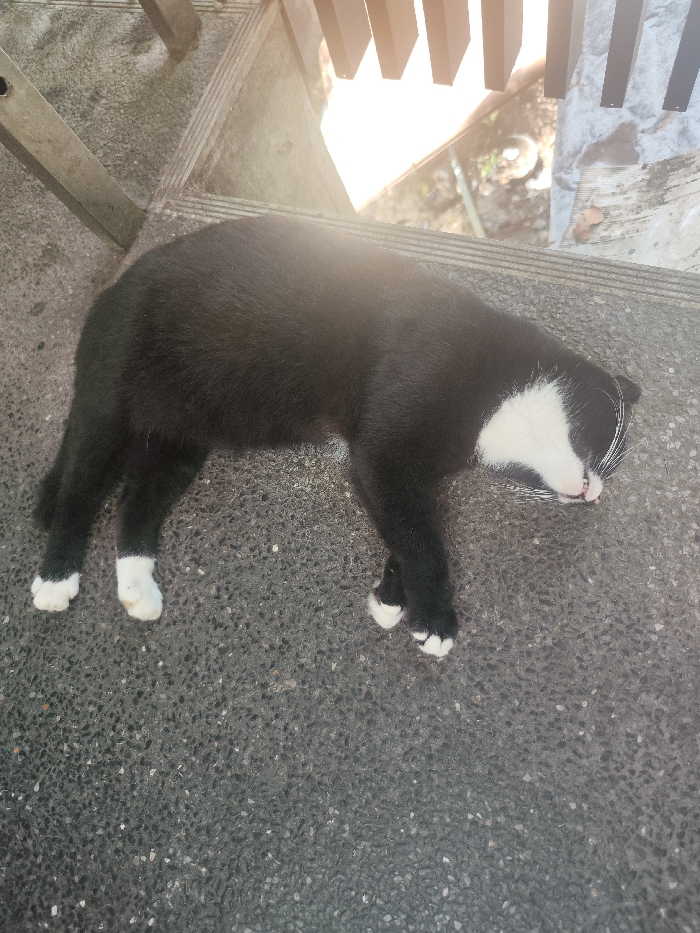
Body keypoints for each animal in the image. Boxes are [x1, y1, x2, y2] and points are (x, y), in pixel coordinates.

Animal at [31, 215, 640, 657]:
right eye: (608, 445)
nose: (593, 494)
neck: (493, 394)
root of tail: (112, 290)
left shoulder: (401, 470)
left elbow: (408, 529)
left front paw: (393, 599)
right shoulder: (384, 452)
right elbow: (421, 537)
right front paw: (436, 618)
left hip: (175, 444)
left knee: (135, 502)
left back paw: (137, 589)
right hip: (107, 408)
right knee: (81, 489)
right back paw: (56, 577)